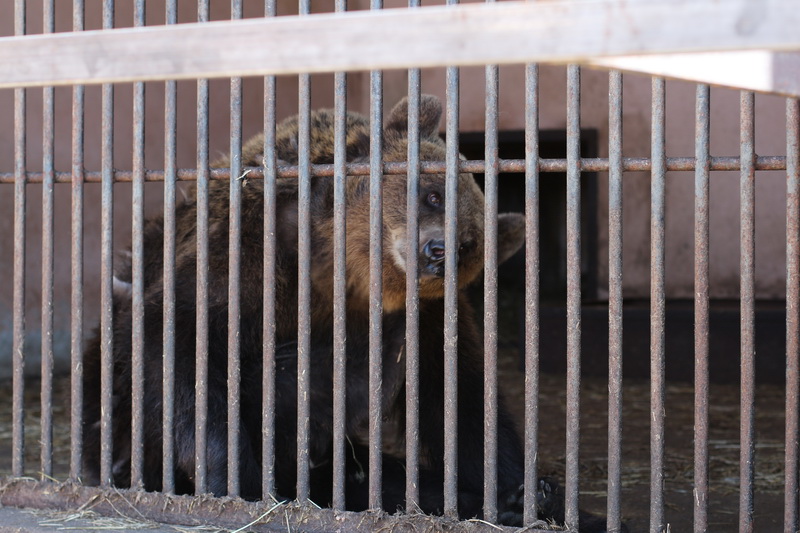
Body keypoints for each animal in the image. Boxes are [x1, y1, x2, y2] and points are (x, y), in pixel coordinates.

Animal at [79, 93, 620, 528]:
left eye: (470, 242)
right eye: (432, 192)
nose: (438, 251)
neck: (342, 268)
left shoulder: (427, 318)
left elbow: (460, 399)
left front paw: (526, 492)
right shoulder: (250, 248)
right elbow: (183, 336)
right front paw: (233, 481)